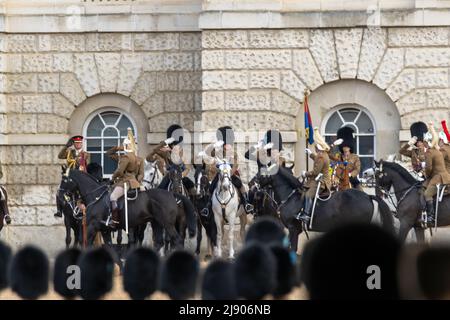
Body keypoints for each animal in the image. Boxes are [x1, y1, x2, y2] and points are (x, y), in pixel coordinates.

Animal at [60, 169, 195, 249]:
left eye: (64, 180)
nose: (60, 196)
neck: (96, 196)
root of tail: (172, 194)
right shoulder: (104, 230)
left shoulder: (92, 227)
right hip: (156, 223)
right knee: (159, 243)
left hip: (167, 224)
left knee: (177, 240)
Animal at [258, 165, 396, 252]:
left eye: (262, 173)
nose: (254, 182)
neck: (290, 197)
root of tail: (367, 196)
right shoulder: (296, 230)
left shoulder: (292, 229)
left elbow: (293, 249)